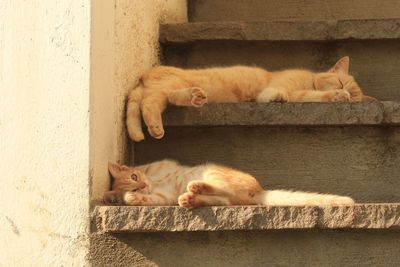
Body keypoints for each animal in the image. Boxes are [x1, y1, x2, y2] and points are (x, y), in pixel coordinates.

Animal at [127, 56, 376, 142]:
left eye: (356, 99)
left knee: (169, 98)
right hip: (168, 85)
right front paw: (338, 94)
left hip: (174, 89)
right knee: (149, 101)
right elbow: (300, 94)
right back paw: (156, 127)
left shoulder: (299, 95)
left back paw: (195, 97)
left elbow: (312, 96)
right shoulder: (280, 87)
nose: (346, 93)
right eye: (341, 82)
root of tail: (145, 76)